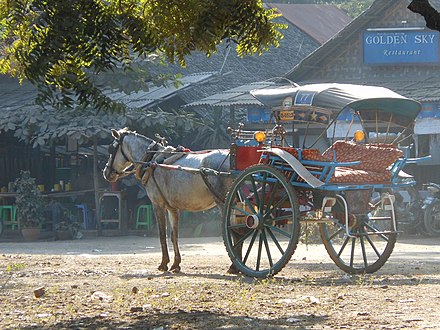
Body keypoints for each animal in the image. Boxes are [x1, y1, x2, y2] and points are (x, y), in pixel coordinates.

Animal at [103, 127, 234, 272]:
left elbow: (162, 235)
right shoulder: (172, 208)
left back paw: (234, 266)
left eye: (111, 149)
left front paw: (163, 263)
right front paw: (176, 263)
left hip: (224, 202)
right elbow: (173, 235)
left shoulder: (158, 204)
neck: (151, 160)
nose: (106, 172)